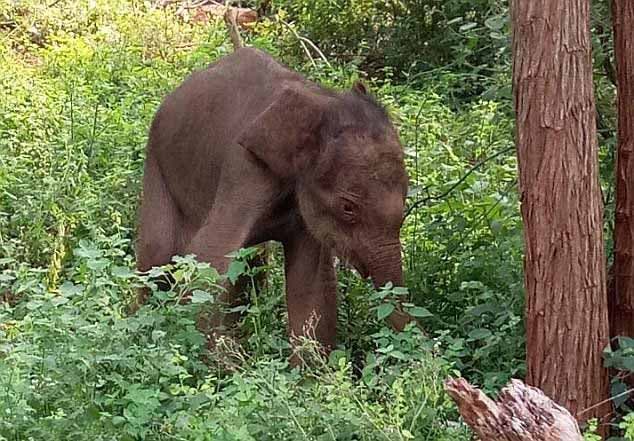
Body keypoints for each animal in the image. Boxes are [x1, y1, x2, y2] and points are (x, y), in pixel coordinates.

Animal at [137, 47, 410, 350]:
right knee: (157, 253)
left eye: (407, 198)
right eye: (348, 208)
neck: (321, 100)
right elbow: (208, 254)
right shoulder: (243, 168)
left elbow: (312, 284)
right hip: (157, 164)